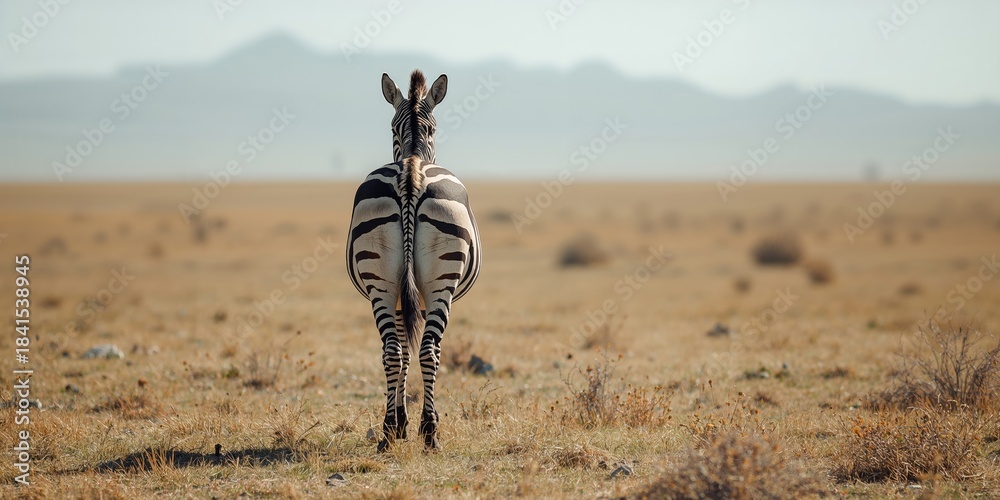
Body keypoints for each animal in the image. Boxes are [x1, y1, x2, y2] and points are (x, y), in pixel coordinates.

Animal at [346, 70, 481, 451]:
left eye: (392, 128)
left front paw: (400, 423)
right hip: (440, 284)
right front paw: (410, 422)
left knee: (394, 350)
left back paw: (388, 433)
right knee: (430, 351)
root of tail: (411, 173)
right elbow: (413, 350)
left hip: (381, 279)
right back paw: (430, 433)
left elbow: (402, 352)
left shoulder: (398, 294)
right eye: (436, 131)